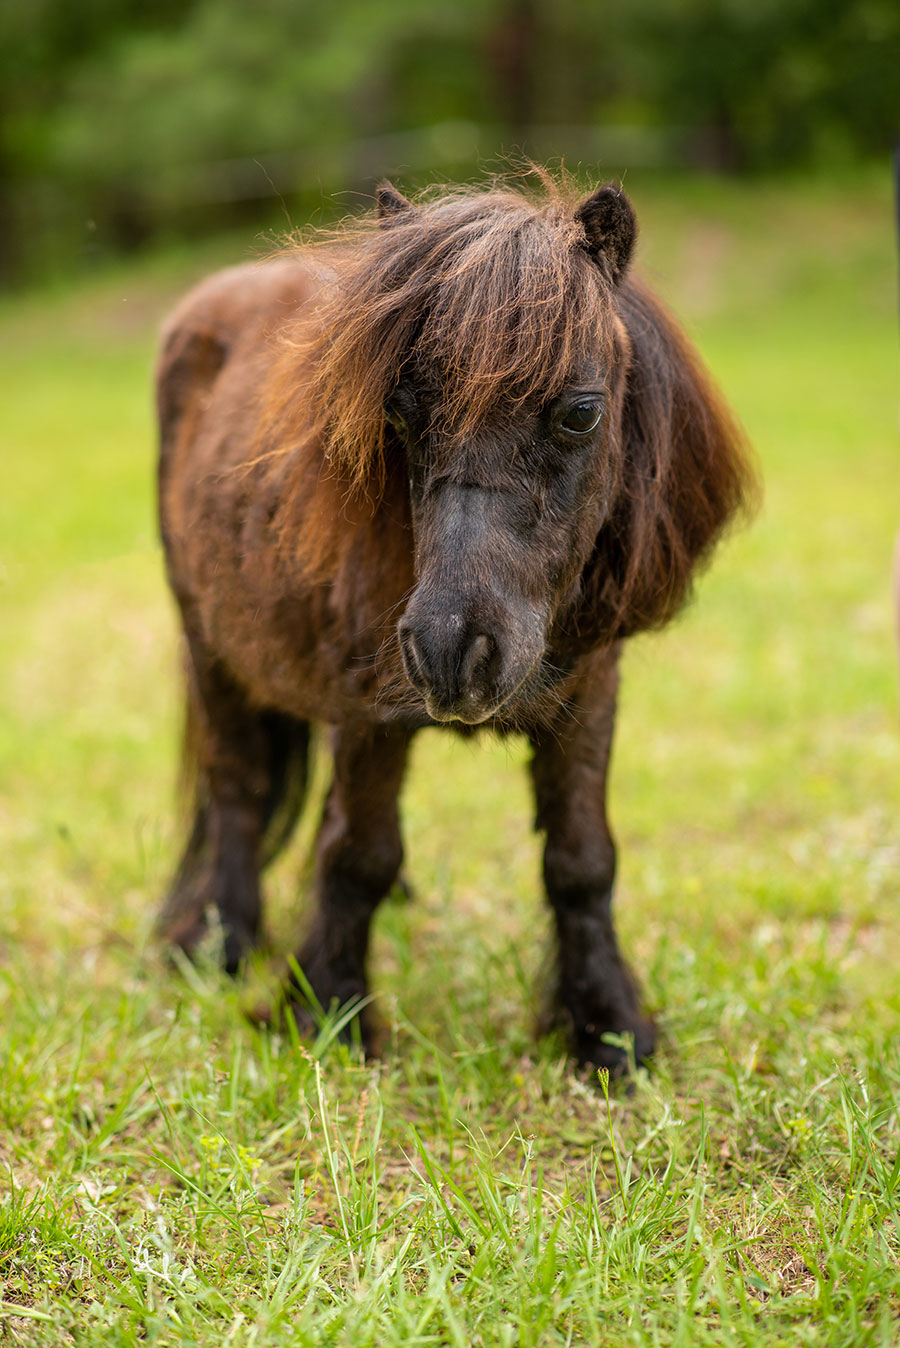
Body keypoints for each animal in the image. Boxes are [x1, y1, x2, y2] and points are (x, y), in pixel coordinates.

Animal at [156, 173, 754, 1067]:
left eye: (581, 412)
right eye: (399, 416)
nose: (452, 651)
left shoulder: (589, 699)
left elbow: (581, 862)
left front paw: (609, 1032)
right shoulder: (368, 708)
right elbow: (358, 853)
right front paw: (326, 1014)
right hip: (211, 647)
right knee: (236, 786)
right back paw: (219, 944)